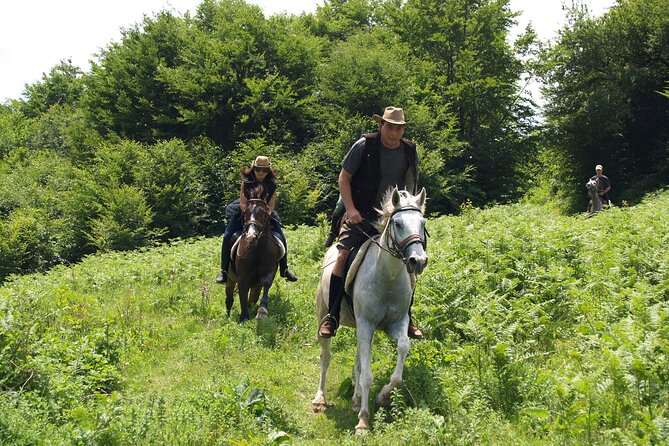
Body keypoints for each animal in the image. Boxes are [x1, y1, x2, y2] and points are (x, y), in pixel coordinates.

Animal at [226, 186, 284, 322]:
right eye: (244, 213)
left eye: (264, 214)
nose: (251, 236)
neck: (257, 248)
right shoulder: (242, 277)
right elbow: (242, 294)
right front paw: (243, 318)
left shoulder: (270, 271)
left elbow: (266, 284)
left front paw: (262, 312)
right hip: (230, 278)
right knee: (229, 298)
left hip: (255, 285)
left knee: (253, 297)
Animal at [312, 186, 428, 434]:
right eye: (398, 224)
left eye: (422, 222)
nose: (418, 261)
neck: (387, 277)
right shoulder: (366, 325)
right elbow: (366, 375)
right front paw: (363, 421)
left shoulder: (396, 323)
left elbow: (403, 349)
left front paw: (382, 397)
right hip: (325, 317)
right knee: (325, 357)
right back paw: (320, 399)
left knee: (357, 360)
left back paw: (356, 400)